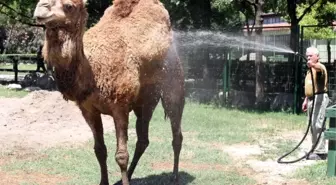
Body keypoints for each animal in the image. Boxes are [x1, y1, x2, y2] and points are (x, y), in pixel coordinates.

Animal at [33, 0, 185, 185]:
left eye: (69, 6)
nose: (41, 7)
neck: (93, 71)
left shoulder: (120, 106)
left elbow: (121, 155)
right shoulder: (88, 109)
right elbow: (100, 150)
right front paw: (104, 181)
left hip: (173, 83)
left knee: (176, 133)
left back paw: (175, 177)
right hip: (145, 100)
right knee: (143, 139)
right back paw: (131, 175)